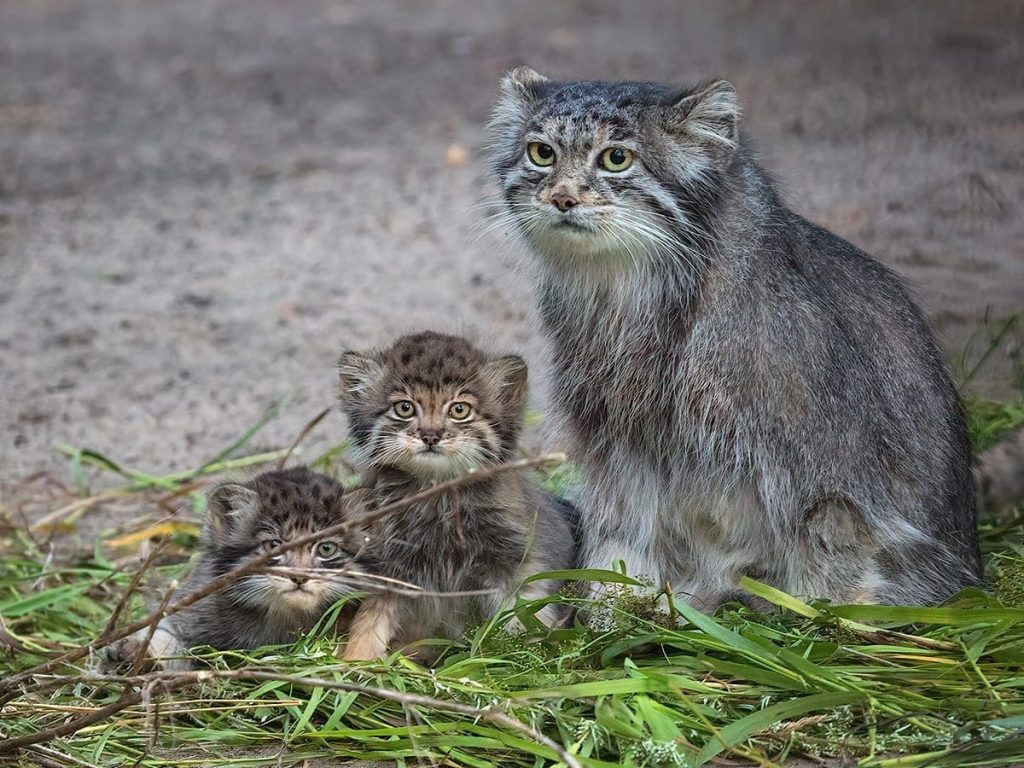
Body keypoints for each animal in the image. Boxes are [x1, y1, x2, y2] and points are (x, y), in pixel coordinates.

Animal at [105, 466, 356, 671]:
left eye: (326, 548)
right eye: (273, 545)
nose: (300, 577)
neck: (284, 616)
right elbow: (165, 633)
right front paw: (136, 650)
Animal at [335, 331, 577, 663]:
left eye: (459, 410)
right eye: (404, 408)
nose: (431, 435)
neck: (440, 496)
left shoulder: (513, 560)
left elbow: (525, 613)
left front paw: (532, 658)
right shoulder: (390, 564)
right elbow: (370, 619)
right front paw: (355, 660)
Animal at [487, 70, 983, 614]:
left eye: (616, 158)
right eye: (541, 153)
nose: (561, 198)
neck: (634, 299)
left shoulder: (828, 458)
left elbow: (834, 537)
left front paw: (827, 614)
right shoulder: (619, 432)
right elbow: (624, 520)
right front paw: (611, 598)